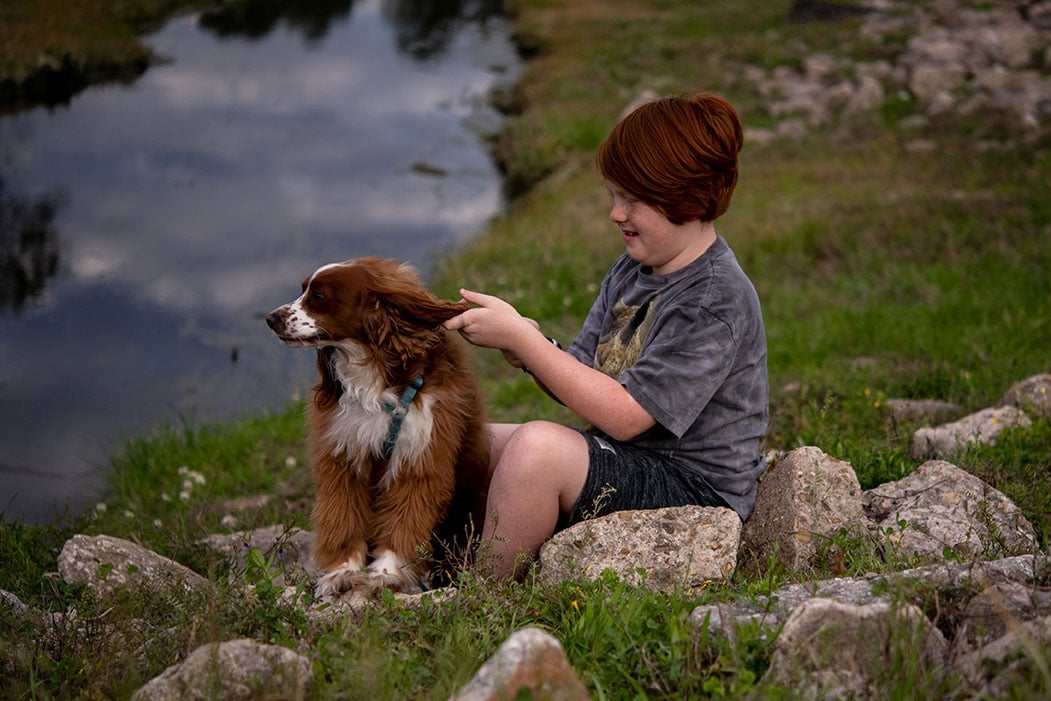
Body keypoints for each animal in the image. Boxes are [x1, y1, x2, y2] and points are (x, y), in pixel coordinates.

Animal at [266, 257, 487, 596]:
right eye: (302, 290)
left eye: (317, 296)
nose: (270, 318)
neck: (372, 370)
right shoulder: (344, 453)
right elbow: (342, 514)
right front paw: (341, 573)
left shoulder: (419, 453)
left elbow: (404, 517)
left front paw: (387, 573)